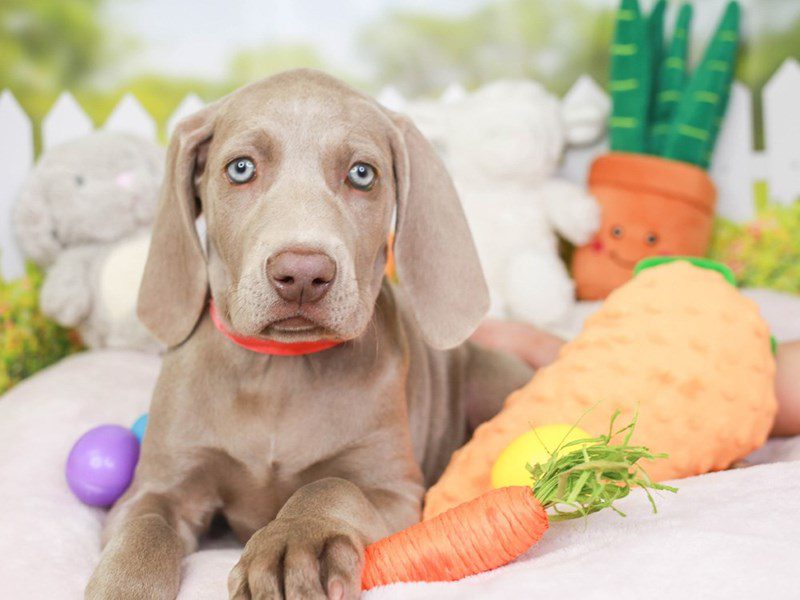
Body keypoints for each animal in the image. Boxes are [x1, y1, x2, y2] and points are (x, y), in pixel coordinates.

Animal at [86, 69, 532, 596]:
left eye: (362, 174)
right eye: (241, 169)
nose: (302, 273)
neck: (279, 371)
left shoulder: (394, 490)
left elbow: (332, 485)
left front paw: (295, 541)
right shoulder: (159, 485)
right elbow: (144, 529)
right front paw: (122, 583)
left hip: (490, 382)